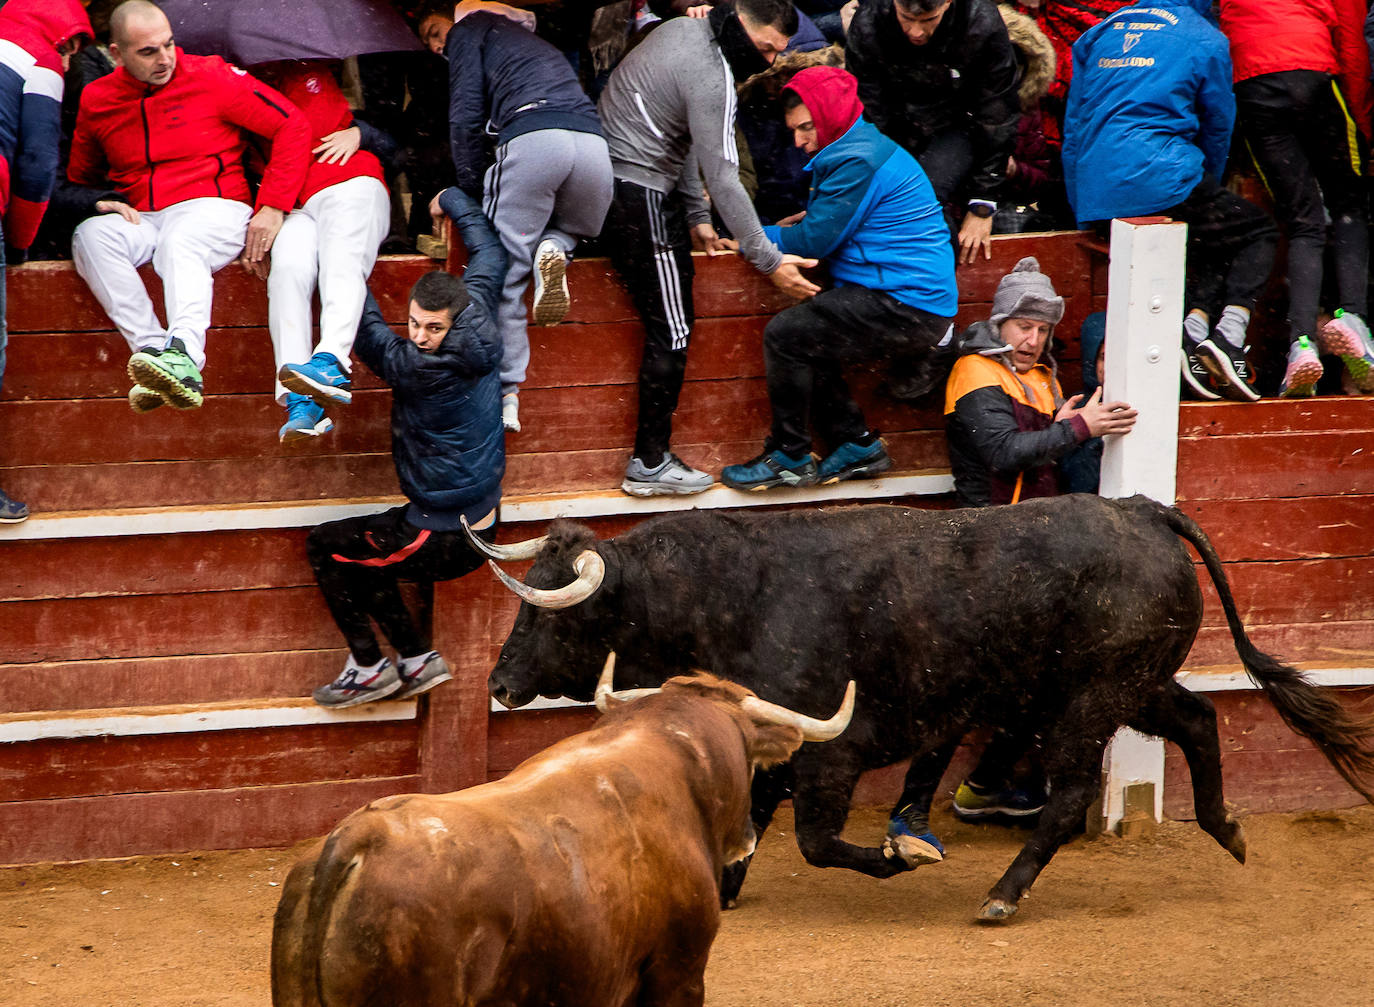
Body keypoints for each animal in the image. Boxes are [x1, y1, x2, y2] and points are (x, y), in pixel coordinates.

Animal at [478, 494, 1374, 917]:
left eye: (551, 613)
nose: (498, 684)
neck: (733, 593)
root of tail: (1141, 508)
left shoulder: (832, 752)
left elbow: (814, 839)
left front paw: (902, 853)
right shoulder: (771, 741)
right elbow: (752, 819)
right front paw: (724, 888)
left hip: (1089, 703)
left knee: (1072, 794)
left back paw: (1002, 895)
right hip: (1132, 685)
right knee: (1199, 720)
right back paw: (1228, 828)